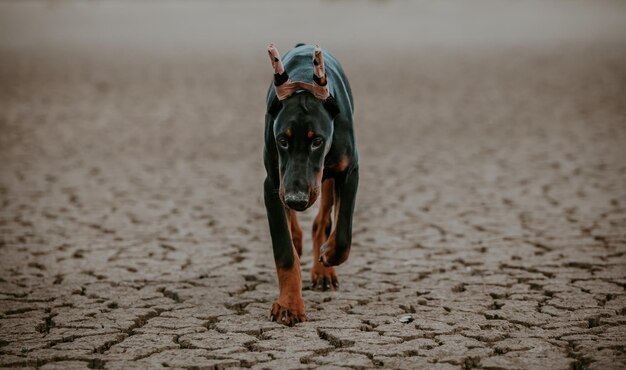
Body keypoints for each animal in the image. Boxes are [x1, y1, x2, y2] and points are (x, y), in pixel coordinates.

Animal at [262, 44, 358, 326]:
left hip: (327, 179)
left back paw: (324, 272)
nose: (297, 199)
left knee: (323, 221)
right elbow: (284, 251)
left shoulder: (349, 171)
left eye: (317, 141)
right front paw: (289, 305)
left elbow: (343, 235)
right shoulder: (273, 184)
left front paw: (328, 256)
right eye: (283, 140)